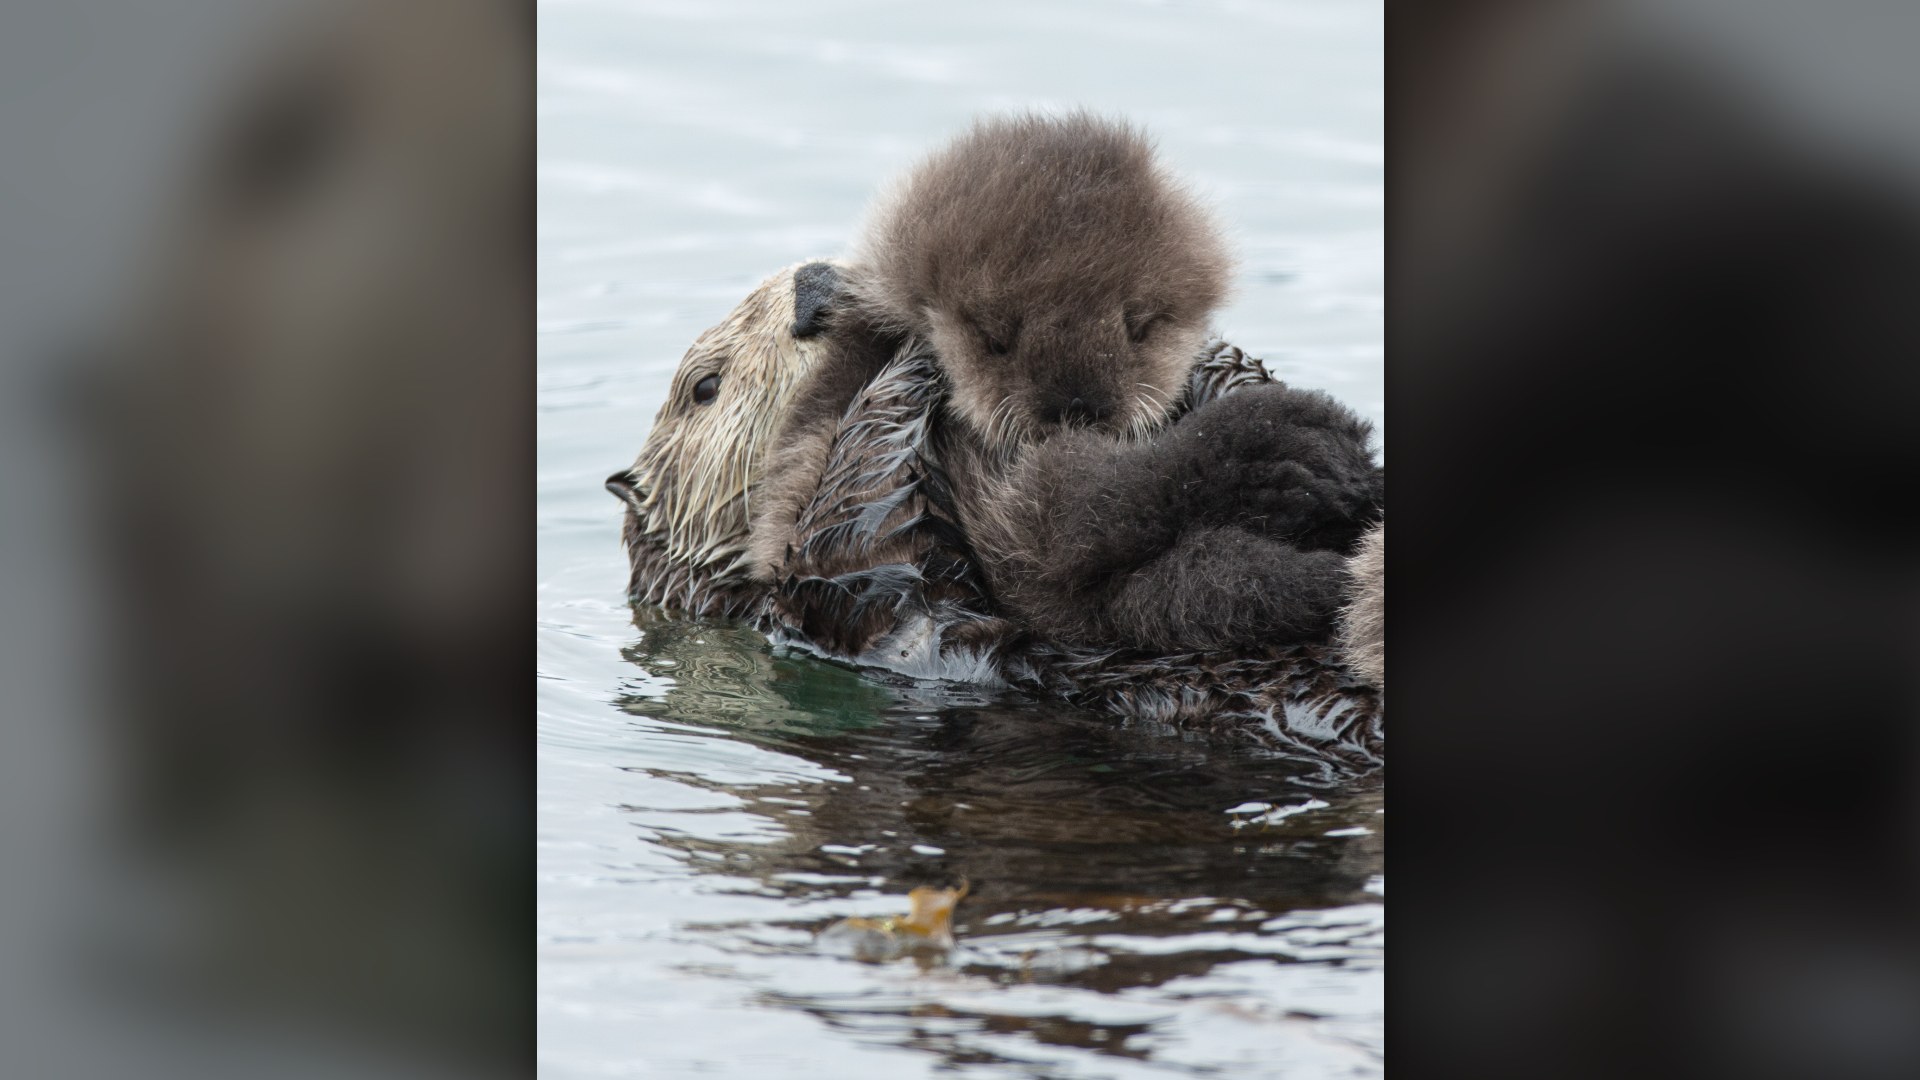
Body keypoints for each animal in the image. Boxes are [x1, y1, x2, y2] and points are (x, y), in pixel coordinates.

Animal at [845, 111, 1384, 653]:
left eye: (1139, 325)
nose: (1078, 403)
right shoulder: (1001, 504)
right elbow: (1079, 511)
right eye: (995, 339)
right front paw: (1278, 440)